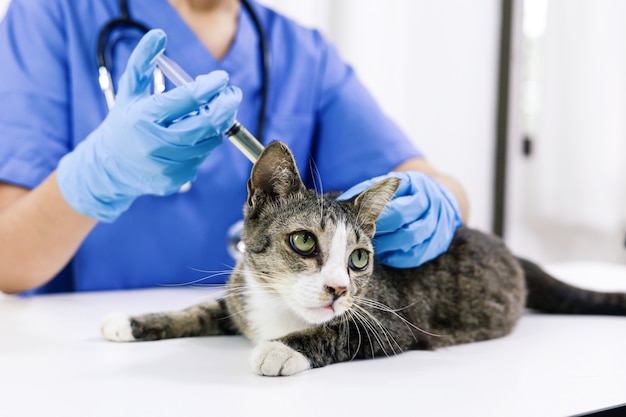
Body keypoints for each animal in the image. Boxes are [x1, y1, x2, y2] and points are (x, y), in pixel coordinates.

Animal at [100, 141, 624, 376]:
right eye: (303, 242)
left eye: (357, 259)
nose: (338, 289)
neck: (279, 308)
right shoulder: (240, 293)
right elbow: (202, 309)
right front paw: (131, 321)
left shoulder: (390, 322)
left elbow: (339, 333)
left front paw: (281, 348)